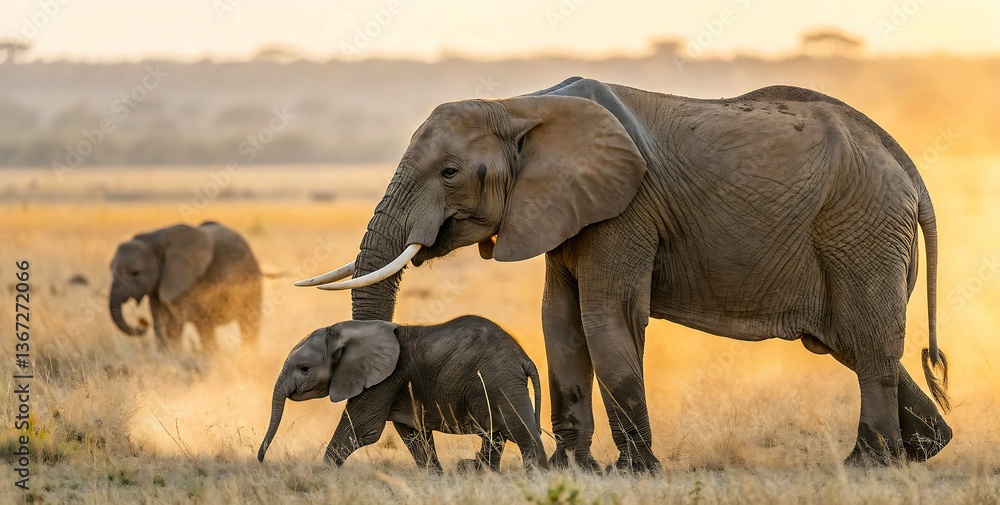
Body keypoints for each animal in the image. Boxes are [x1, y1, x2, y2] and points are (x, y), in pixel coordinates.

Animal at [109, 221, 262, 352]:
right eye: (111, 269)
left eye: (135, 273)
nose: (142, 324)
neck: (154, 238)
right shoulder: (159, 285)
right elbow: (160, 321)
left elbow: (180, 322)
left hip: (251, 278)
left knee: (248, 320)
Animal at [257, 315, 547, 472]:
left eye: (304, 368)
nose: (261, 460)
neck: (347, 330)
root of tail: (523, 356)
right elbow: (414, 435)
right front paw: (436, 478)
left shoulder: (383, 380)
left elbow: (361, 429)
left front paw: (326, 474)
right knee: (496, 433)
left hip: (501, 379)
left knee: (520, 431)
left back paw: (537, 477)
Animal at [295, 77, 952, 470]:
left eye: (450, 172)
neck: (521, 104)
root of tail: (907, 167)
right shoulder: (564, 211)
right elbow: (559, 321)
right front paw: (571, 469)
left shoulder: (626, 208)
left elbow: (605, 316)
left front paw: (632, 473)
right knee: (847, 341)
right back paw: (921, 452)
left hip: (861, 227)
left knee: (866, 340)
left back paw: (868, 464)